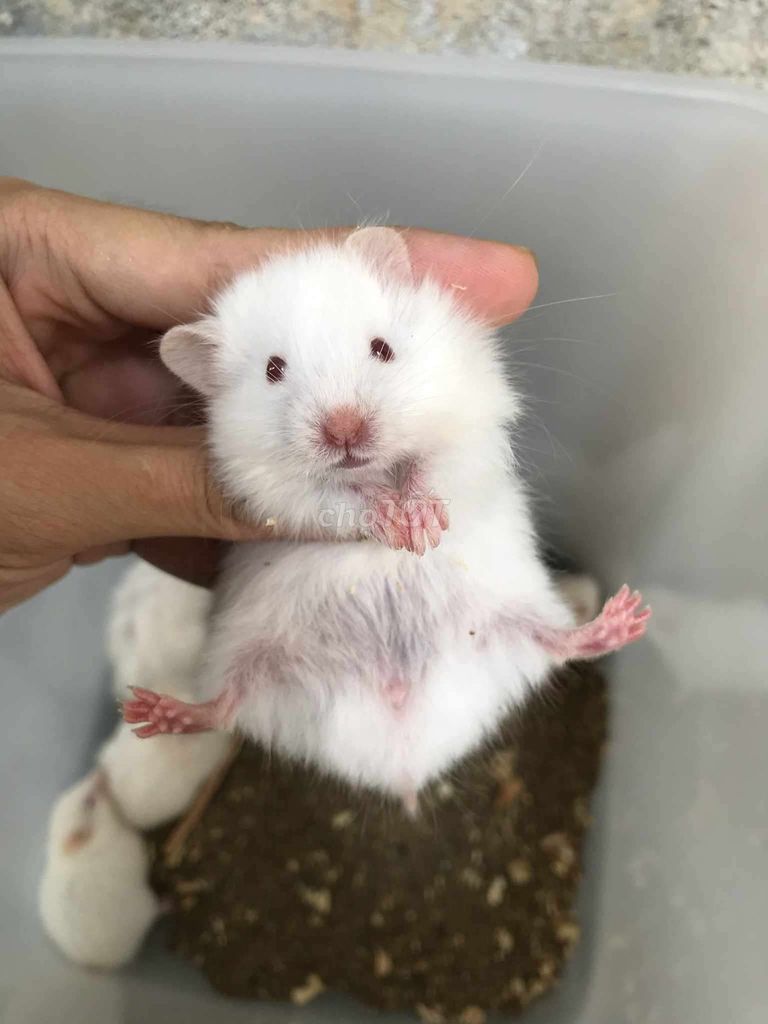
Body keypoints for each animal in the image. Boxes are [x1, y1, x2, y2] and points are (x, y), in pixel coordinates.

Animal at [122, 227, 649, 810]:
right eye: (272, 370)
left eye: (382, 348)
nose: (344, 430)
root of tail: (404, 757)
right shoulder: (262, 483)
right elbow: (338, 496)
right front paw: (397, 524)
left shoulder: (471, 420)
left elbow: (431, 466)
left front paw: (422, 528)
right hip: (249, 656)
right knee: (225, 705)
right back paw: (152, 714)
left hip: (516, 613)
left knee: (558, 643)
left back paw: (626, 617)